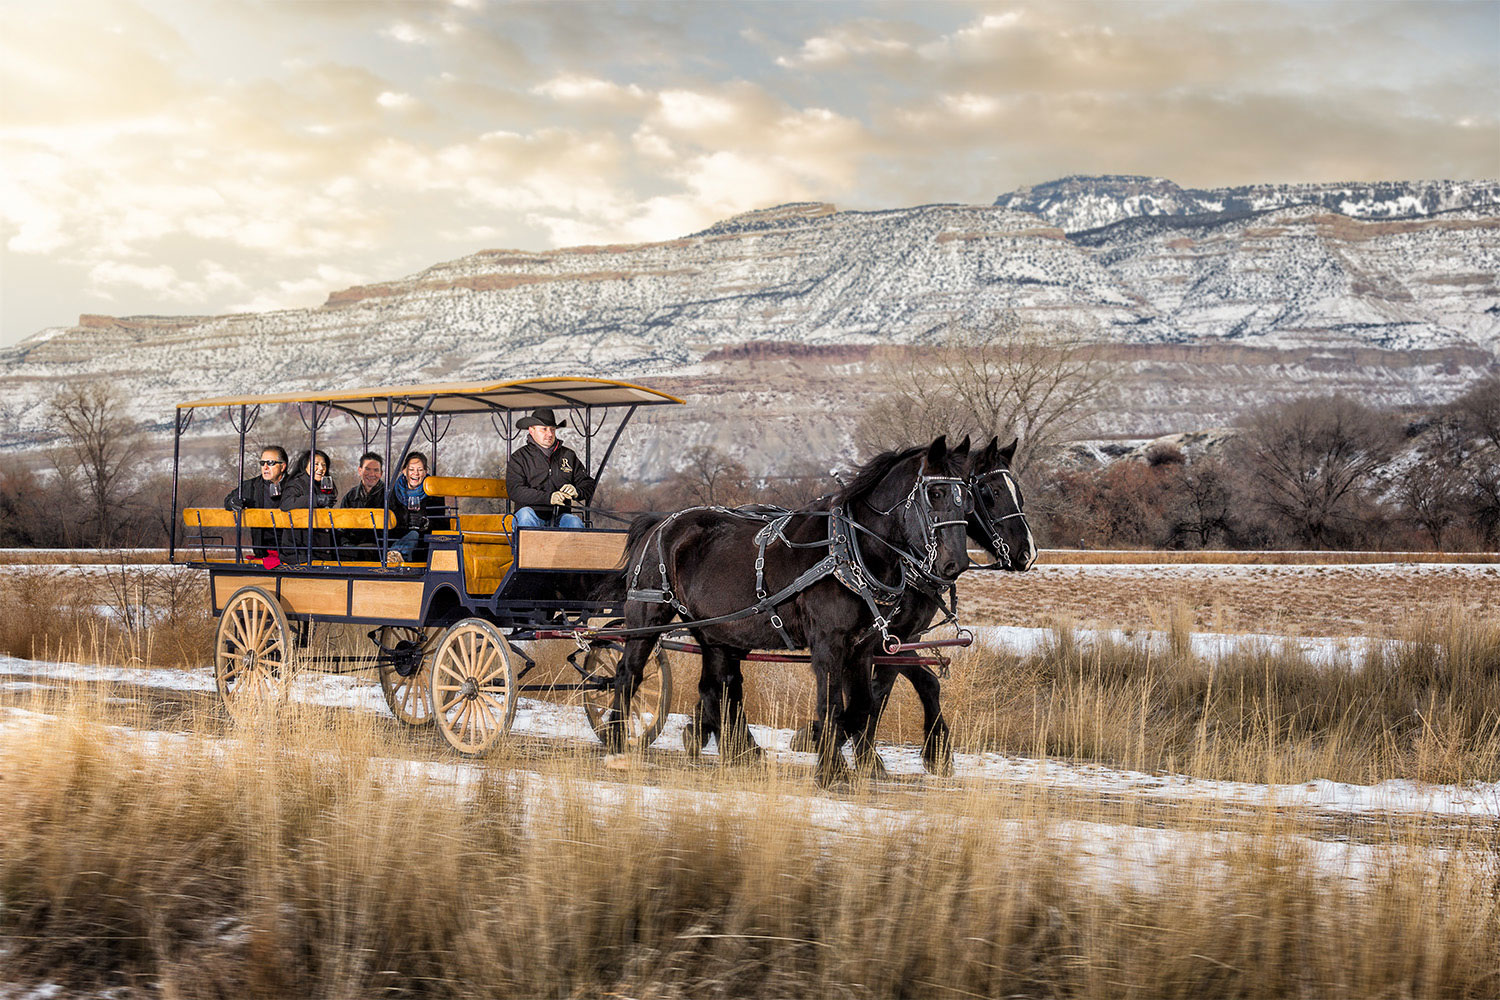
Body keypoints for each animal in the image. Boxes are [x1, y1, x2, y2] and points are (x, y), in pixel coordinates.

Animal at [606, 435, 973, 786]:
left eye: (966, 496)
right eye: (935, 492)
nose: (955, 563)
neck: (849, 550)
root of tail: (658, 523)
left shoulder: (864, 646)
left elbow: (862, 705)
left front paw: (828, 750)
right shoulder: (829, 642)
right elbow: (833, 704)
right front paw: (827, 765)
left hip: (716, 631)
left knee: (717, 686)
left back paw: (738, 750)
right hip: (647, 613)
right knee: (628, 673)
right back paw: (615, 740)